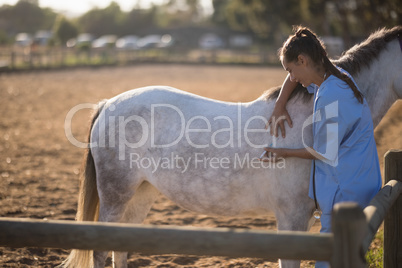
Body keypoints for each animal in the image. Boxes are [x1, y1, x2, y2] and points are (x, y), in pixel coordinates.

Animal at [62, 25, 402, 268]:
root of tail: (108, 103)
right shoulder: (291, 217)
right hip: (115, 195)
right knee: (101, 251)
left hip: (141, 193)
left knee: (121, 246)